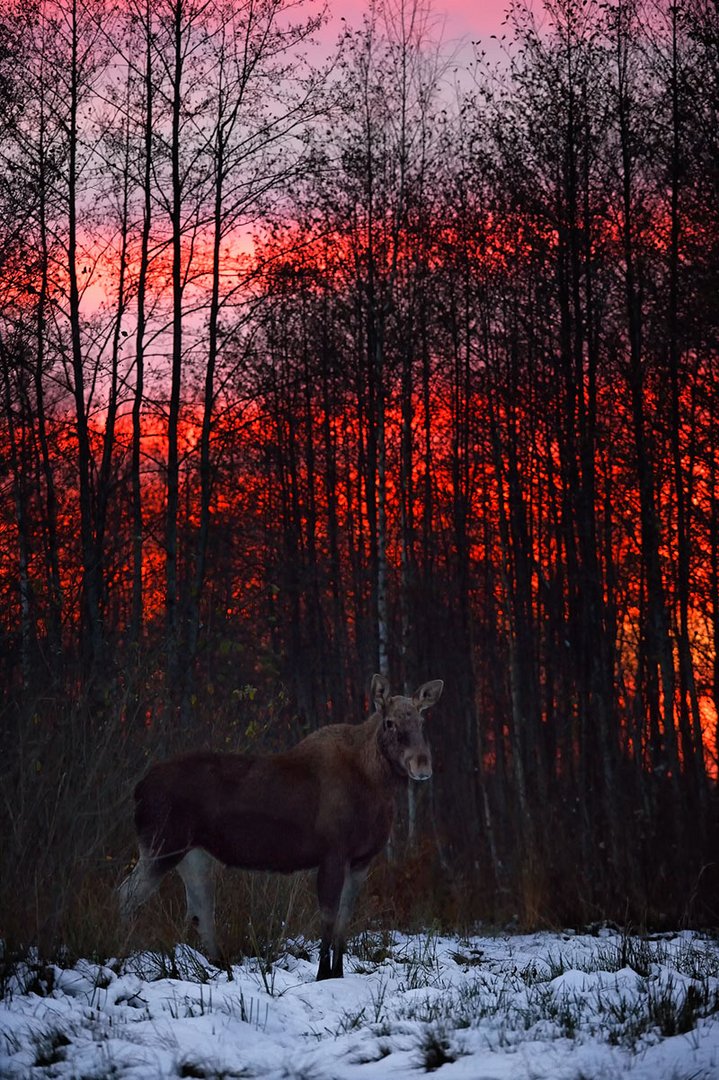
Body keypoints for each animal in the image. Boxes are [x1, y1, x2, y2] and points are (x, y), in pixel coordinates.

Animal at [118, 673, 442, 980]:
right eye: (389, 723)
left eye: (421, 720)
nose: (422, 765)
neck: (375, 785)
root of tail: (138, 789)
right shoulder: (333, 853)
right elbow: (328, 917)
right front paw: (323, 974)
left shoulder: (362, 860)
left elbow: (345, 919)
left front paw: (338, 972)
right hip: (161, 846)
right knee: (125, 896)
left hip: (193, 854)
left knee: (200, 911)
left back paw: (222, 968)